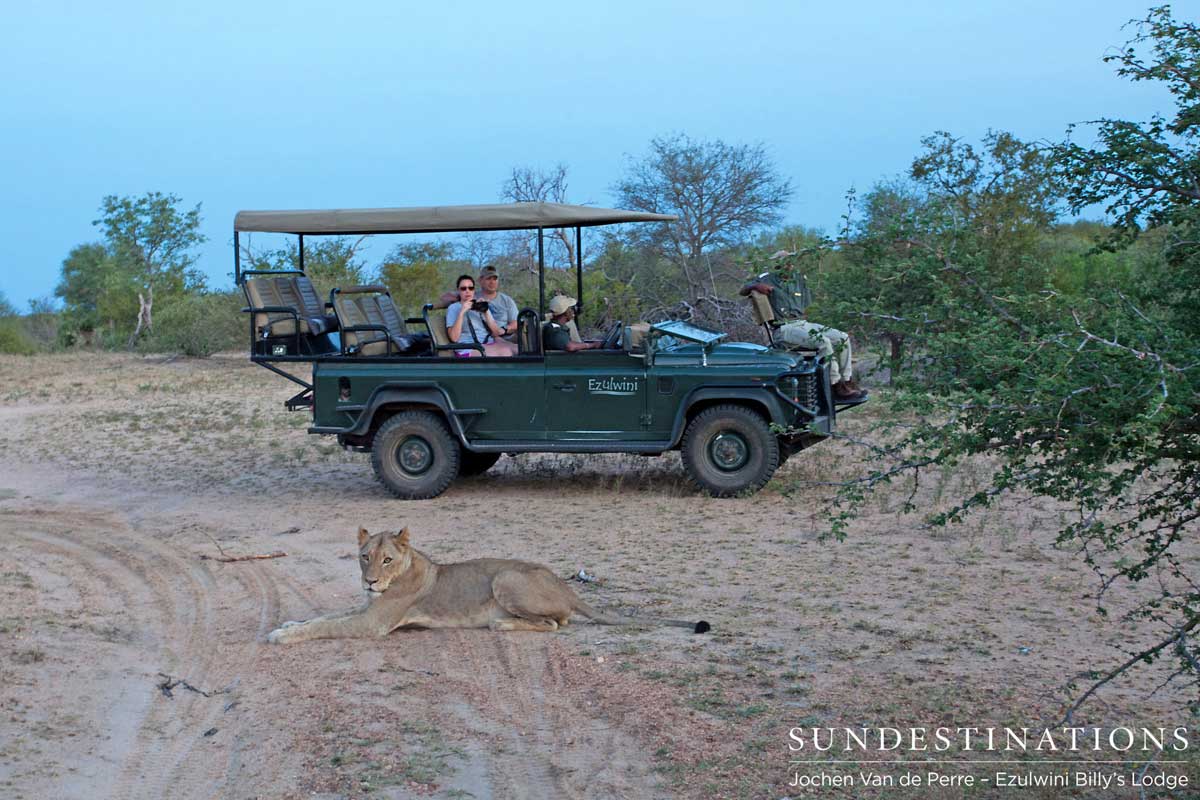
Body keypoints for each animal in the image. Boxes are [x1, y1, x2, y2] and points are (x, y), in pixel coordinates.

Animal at [267, 527, 705, 647]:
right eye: (364, 556)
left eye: (386, 559)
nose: (369, 580)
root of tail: (567, 587)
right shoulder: (367, 610)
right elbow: (326, 615)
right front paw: (287, 625)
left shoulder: (373, 624)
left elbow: (326, 625)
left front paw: (280, 636)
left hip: (506, 578)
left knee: (555, 624)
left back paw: (502, 624)